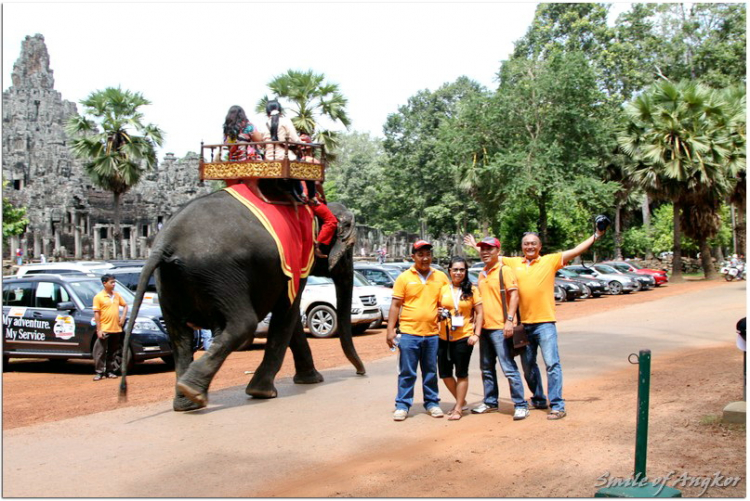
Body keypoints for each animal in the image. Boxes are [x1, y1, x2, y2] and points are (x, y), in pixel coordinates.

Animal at [120, 184, 368, 410]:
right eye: (350, 249)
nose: (361, 372)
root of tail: (165, 242)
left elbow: (290, 316)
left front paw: (310, 379)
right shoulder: (296, 260)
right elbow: (288, 310)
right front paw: (263, 392)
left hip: (170, 280)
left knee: (178, 333)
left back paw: (186, 401)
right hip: (220, 273)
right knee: (243, 324)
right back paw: (193, 391)